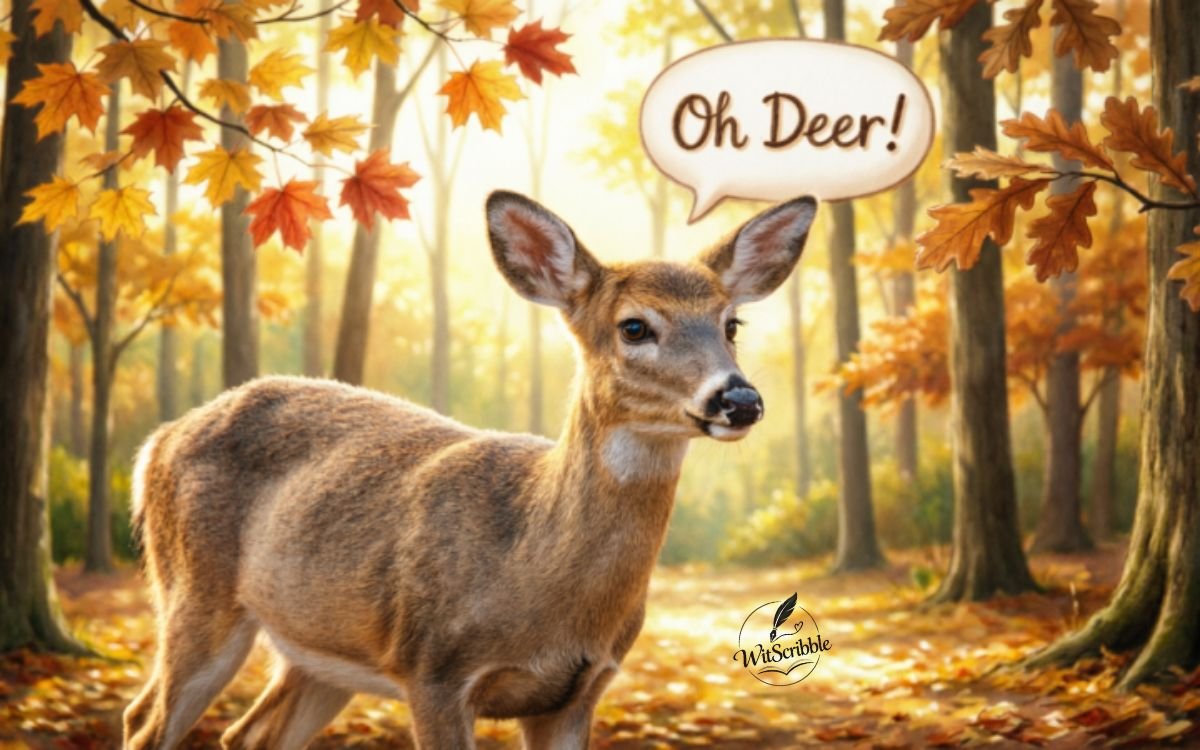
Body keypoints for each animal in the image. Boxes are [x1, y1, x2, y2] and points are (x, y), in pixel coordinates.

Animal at [122, 190, 817, 750]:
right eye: (635, 326)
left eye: (731, 324)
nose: (738, 399)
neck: (532, 568)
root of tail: (156, 442)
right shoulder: (433, 669)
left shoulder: (579, 691)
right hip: (194, 590)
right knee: (144, 720)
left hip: (318, 655)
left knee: (247, 733)